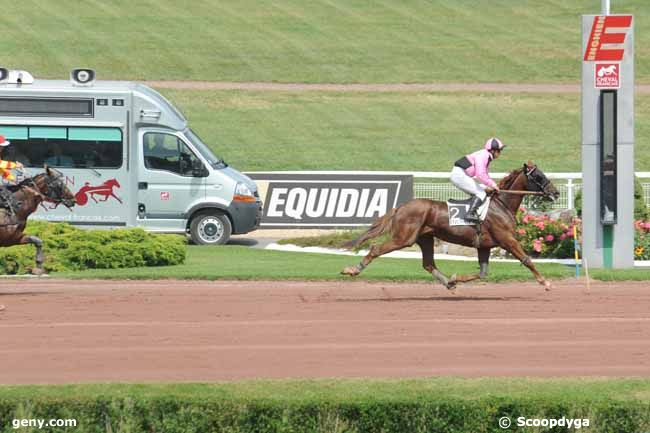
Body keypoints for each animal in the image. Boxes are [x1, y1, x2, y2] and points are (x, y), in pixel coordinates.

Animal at [340, 162, 556, 290]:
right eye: (539, 176)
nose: (556, 193)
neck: (500, 204)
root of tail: (401, 206)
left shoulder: (484, 246)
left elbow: (482, 272)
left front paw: (454, 279)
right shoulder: (507, 240)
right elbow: (527, 259)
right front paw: (545, 282)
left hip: (425, 238)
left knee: (428, 263)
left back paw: (448, 283)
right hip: (404, 238)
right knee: (376, 249)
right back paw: (352, 270)